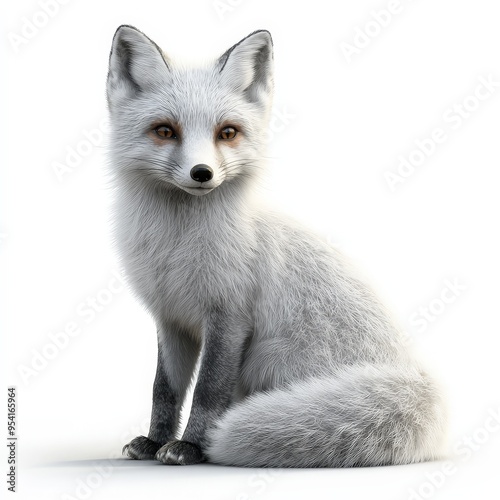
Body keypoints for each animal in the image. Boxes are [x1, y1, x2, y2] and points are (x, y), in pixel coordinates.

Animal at [107, 25, 448, 466]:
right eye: (165, 130)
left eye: (227, 133)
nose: (202, 173)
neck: (175, 245)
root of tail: (416, 372)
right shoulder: (171, 318)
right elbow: (163, 391)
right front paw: (153, 441)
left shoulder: (230, 317)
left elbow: (208, 392)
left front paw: (193, 446)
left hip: (264, 358)